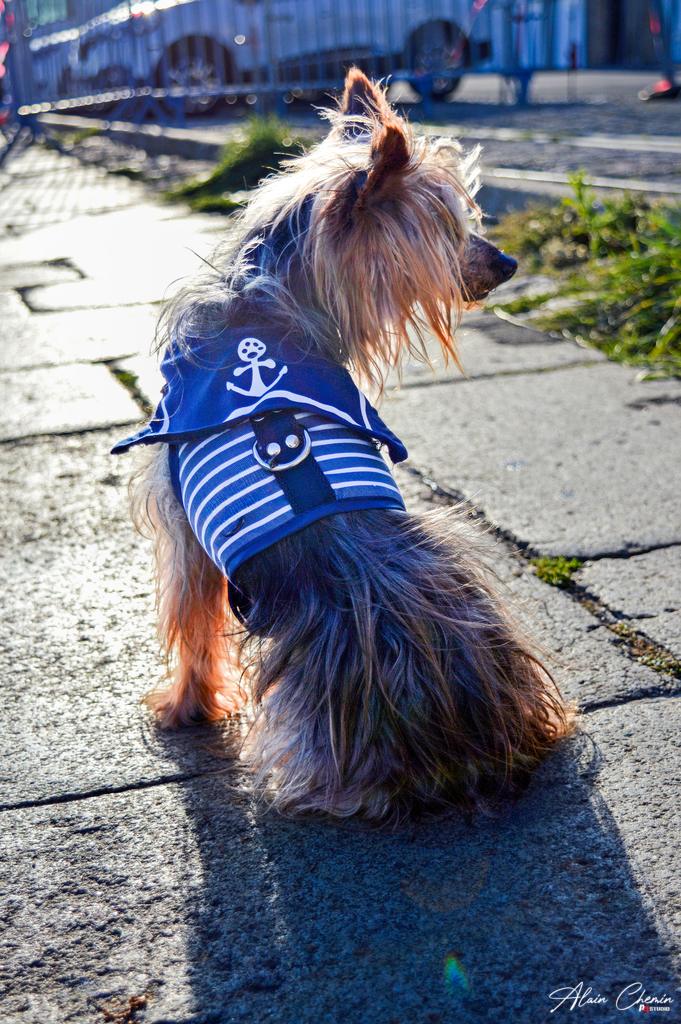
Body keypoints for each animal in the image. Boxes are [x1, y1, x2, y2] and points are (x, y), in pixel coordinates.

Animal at [115, 69, 575, 824]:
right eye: (447, 228)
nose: (508, 261)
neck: (261, 304)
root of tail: (458, 736)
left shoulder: (183, 535)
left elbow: (190, 625)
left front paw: (184, 708)